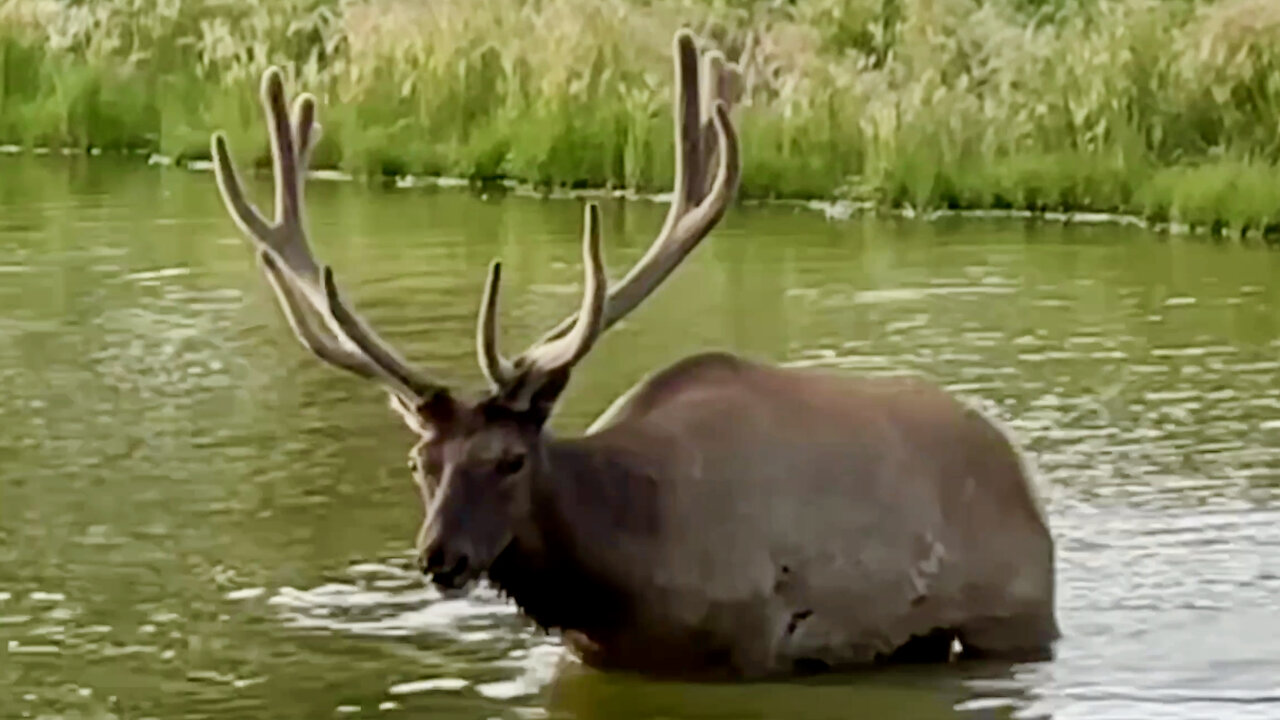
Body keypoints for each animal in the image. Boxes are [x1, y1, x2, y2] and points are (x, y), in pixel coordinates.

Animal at [204, 29, 1054, 676]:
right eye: (421, 462)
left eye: (511, 459)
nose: (438, 556)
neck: (623, 580)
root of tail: (1018, 472)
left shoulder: (757, 640)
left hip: (1016, 615)